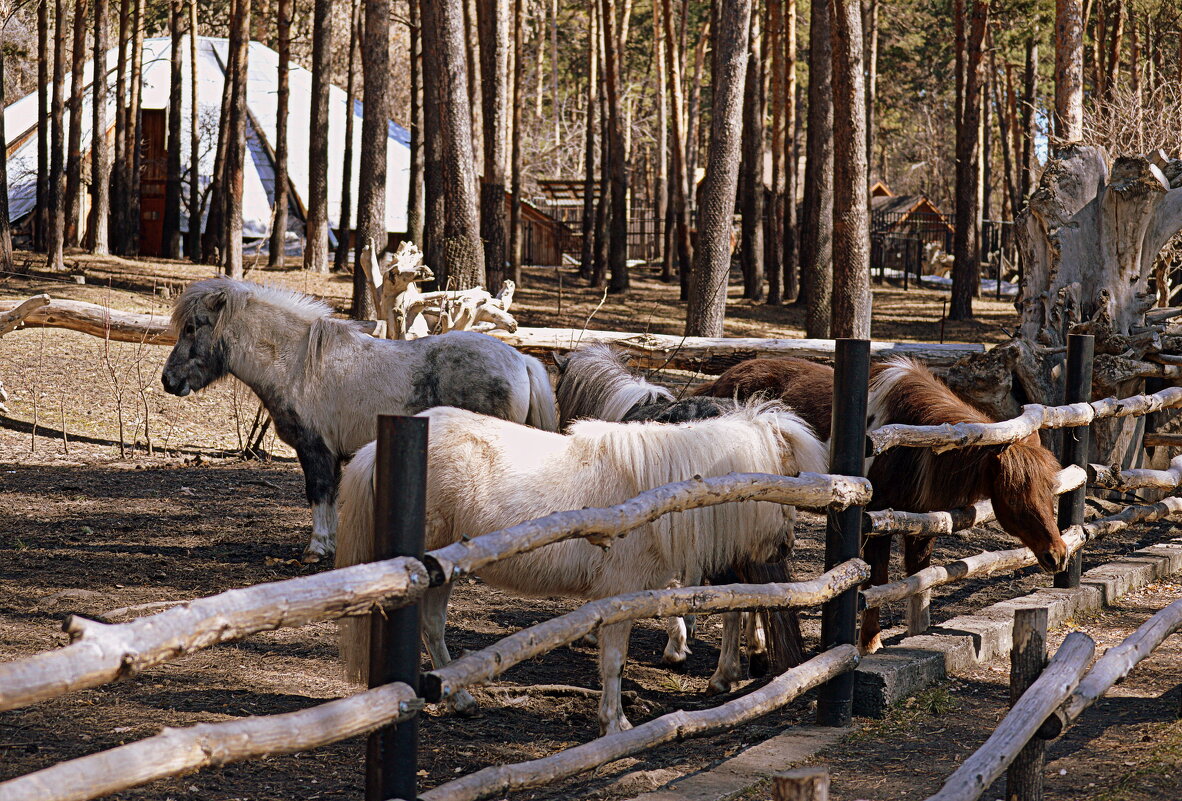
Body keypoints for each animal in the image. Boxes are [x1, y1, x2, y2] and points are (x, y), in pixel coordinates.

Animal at [160, 278, 557, 562]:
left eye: (193, 327)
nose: (169, 380)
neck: (297, 364)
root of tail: (521, 360)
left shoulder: (315, 451)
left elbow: (319, 494)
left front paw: (317, 548)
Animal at [338, 404, 827, 737]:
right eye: (788, 478)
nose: (786, 544)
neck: (656, 494)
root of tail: (374, 451)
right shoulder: (618, 597)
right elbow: (614, 662)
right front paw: (615, 724)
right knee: (429, 627)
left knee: (433, 629)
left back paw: (458, 699)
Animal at [690, 356, 1073, 652]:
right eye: (1015, 495)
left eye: (1050, 490)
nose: (1057, 555)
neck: (913, 442)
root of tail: (720, 384)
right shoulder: (876, 526)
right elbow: (876, 582)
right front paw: (870, 643)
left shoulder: (923, 524)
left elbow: (920, 581)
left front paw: (917, 638)